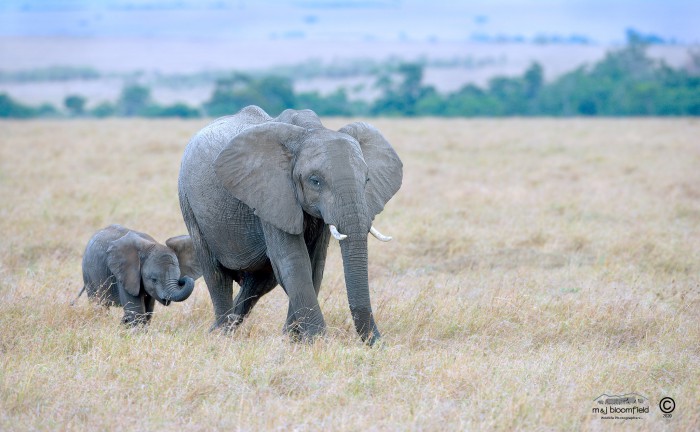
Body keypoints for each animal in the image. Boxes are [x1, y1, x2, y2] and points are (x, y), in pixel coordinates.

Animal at [178, 105, 402, 344]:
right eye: (315, 181)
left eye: (367, 180)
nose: (380, 345)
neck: (310, 130)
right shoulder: (272, 193)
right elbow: (294, 262)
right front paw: (317, 342)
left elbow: (315, 264)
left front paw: (293, 340)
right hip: (189, 202)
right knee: (216, 274)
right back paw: (221, 335)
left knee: (259, 283)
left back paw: (223, 330)